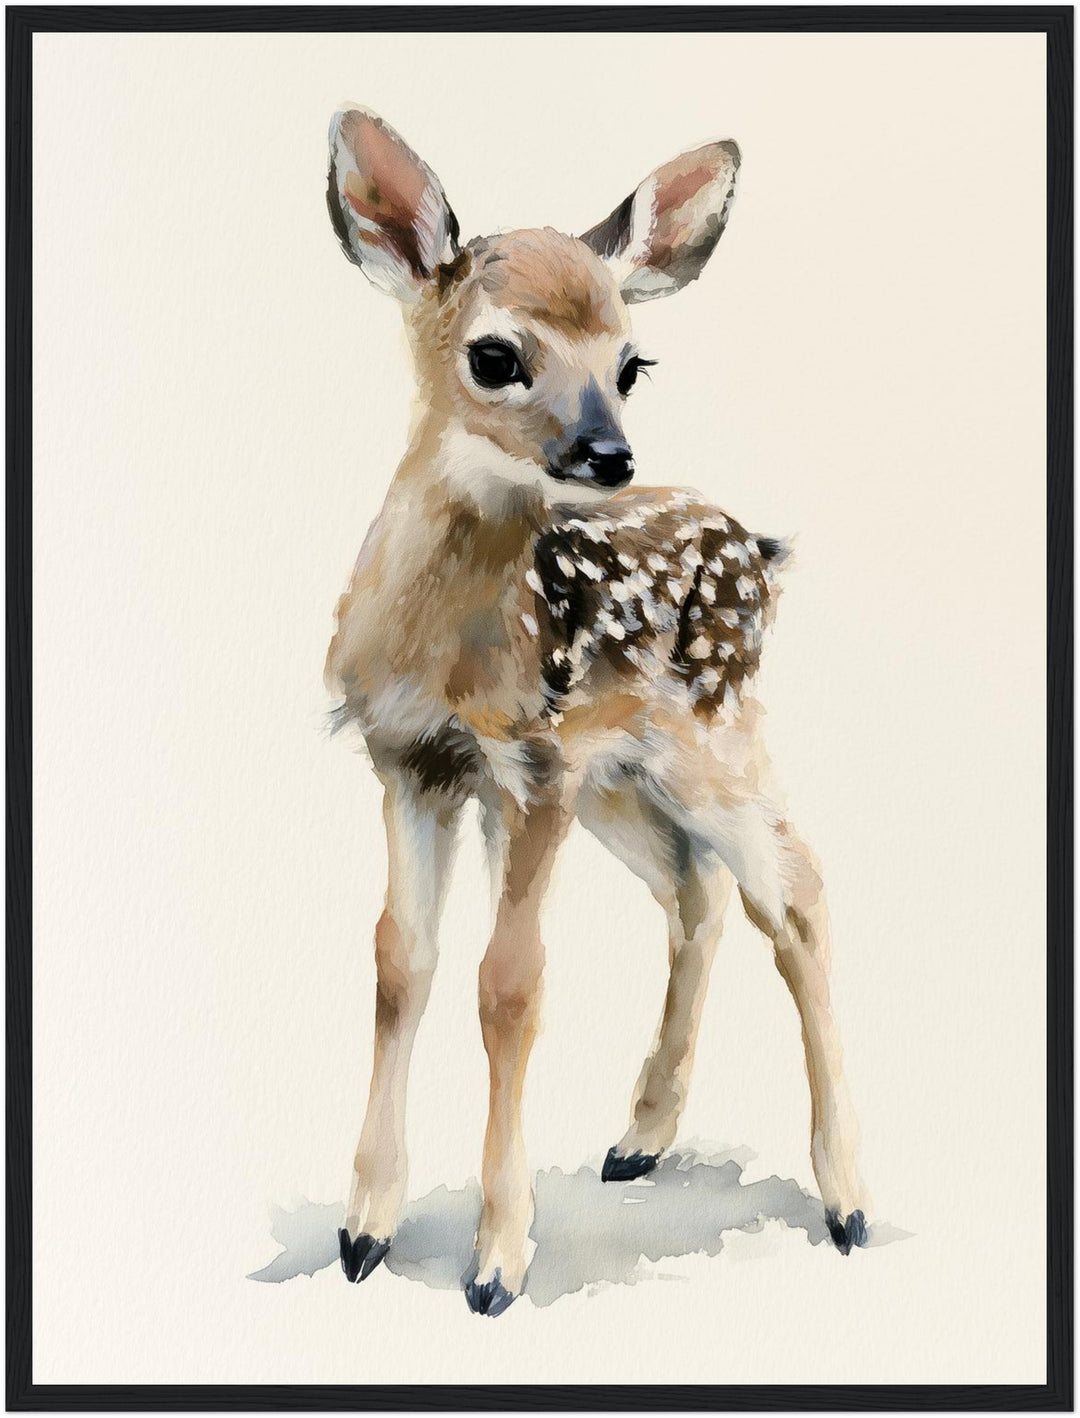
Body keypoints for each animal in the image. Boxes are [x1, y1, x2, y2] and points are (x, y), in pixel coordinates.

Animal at [324, 105, 869, 1317]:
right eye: (495, 354)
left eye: (632, 362)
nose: (608, 453)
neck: (447, 650)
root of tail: (757, 548)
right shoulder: (410, 763)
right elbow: (398, 964)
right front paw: (363, 1230)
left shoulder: (529, 770)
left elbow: (509, 985)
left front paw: (497, 1262)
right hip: (622, 779)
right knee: (695, 892)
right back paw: (640, 1136)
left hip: (710, 739)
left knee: (796, 892)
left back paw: (849, 1200)